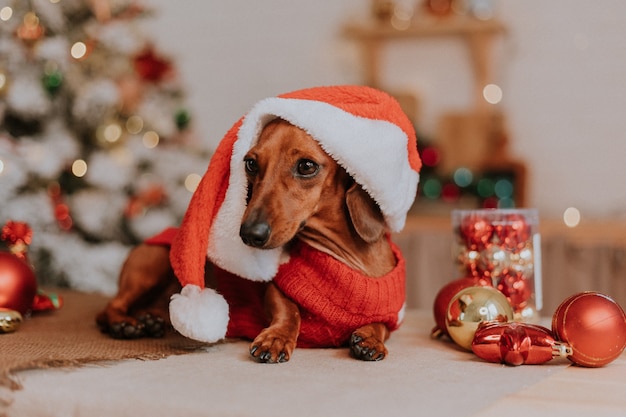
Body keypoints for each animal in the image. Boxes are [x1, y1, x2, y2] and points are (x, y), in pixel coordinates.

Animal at [96, 118, 394, 360]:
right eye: (251, 163)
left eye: (307, 166)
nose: (250, 234)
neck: (347, 258)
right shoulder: (275, 290)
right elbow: (289, 311)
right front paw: (276, 338)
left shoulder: (392, 312)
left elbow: (381, 325)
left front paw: (369, 339)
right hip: (152, 263)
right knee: (111, 305)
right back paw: (123, 323)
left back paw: (154, 319)